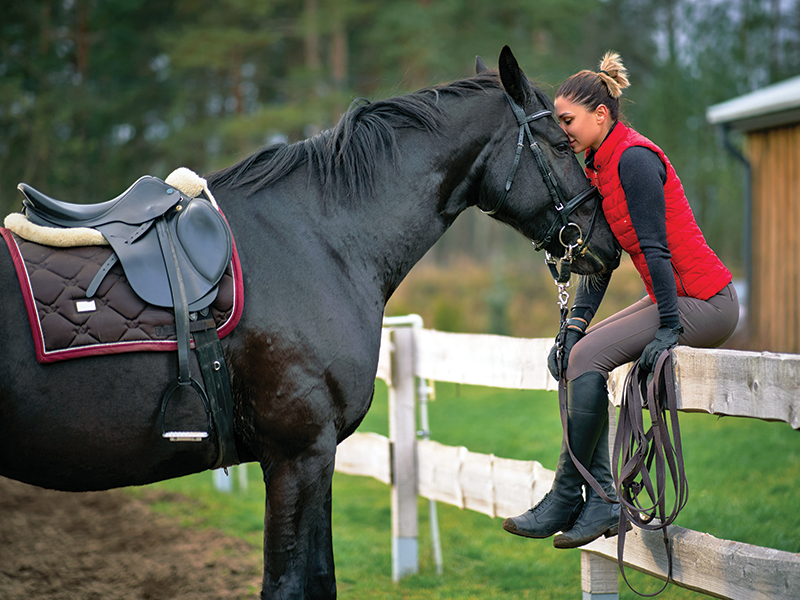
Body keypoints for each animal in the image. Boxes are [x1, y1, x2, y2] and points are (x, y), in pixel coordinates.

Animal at [0, 47, 620, 599]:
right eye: (561, 143)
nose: (608, 243)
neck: (320, 240)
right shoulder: (298, 456)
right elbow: (287, 584)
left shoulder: (317, 458)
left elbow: (321, 581)